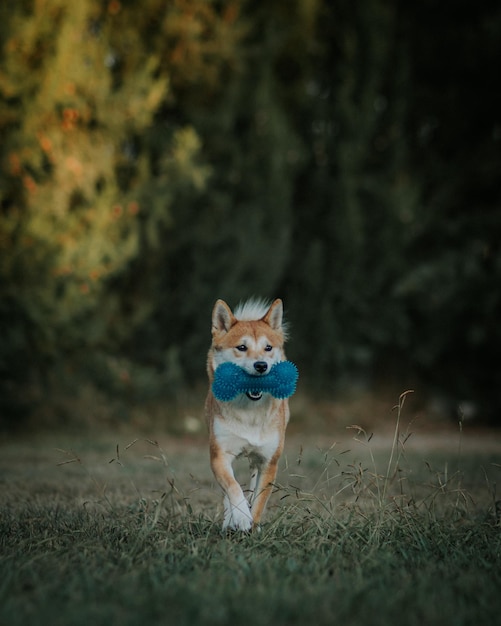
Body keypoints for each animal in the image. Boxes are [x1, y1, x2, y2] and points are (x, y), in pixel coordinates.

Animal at [203, 294, 290, 528]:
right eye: (241, 347)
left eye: (268, 348)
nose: (261, 365)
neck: (250, 413)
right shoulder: (220, 455)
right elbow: (232, 488)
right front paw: (240, 517)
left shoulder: (269, 461)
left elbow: (259, 500)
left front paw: (253, 525)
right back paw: (229, 521)